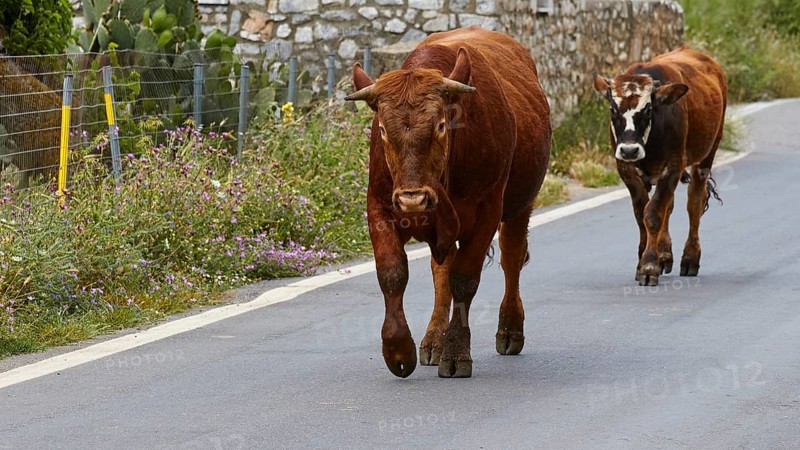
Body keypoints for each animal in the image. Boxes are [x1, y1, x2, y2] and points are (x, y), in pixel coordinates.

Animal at [345, 26, 551, 378]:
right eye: (382, 129)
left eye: (441, 125)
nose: (412, 198)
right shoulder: (379, 208)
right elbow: (392, 273)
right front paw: (399, 350)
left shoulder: (487, 212)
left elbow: (464, 279)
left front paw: (456, 352)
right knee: (440, 268)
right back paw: (432, 339)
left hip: (521, 205)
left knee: (511, 257)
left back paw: (509, 329)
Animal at [592, 47, 727, 286]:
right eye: (613, 110)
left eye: (647, 110)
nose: (629, 150)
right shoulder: (626, 170)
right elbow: (642, 213)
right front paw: (643, 263)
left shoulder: (672, 167)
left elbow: (653, 213)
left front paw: (649, 266)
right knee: (669, 206)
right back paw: (665, 255)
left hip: (709, 151)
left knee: (694, 201)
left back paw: (690, 258)